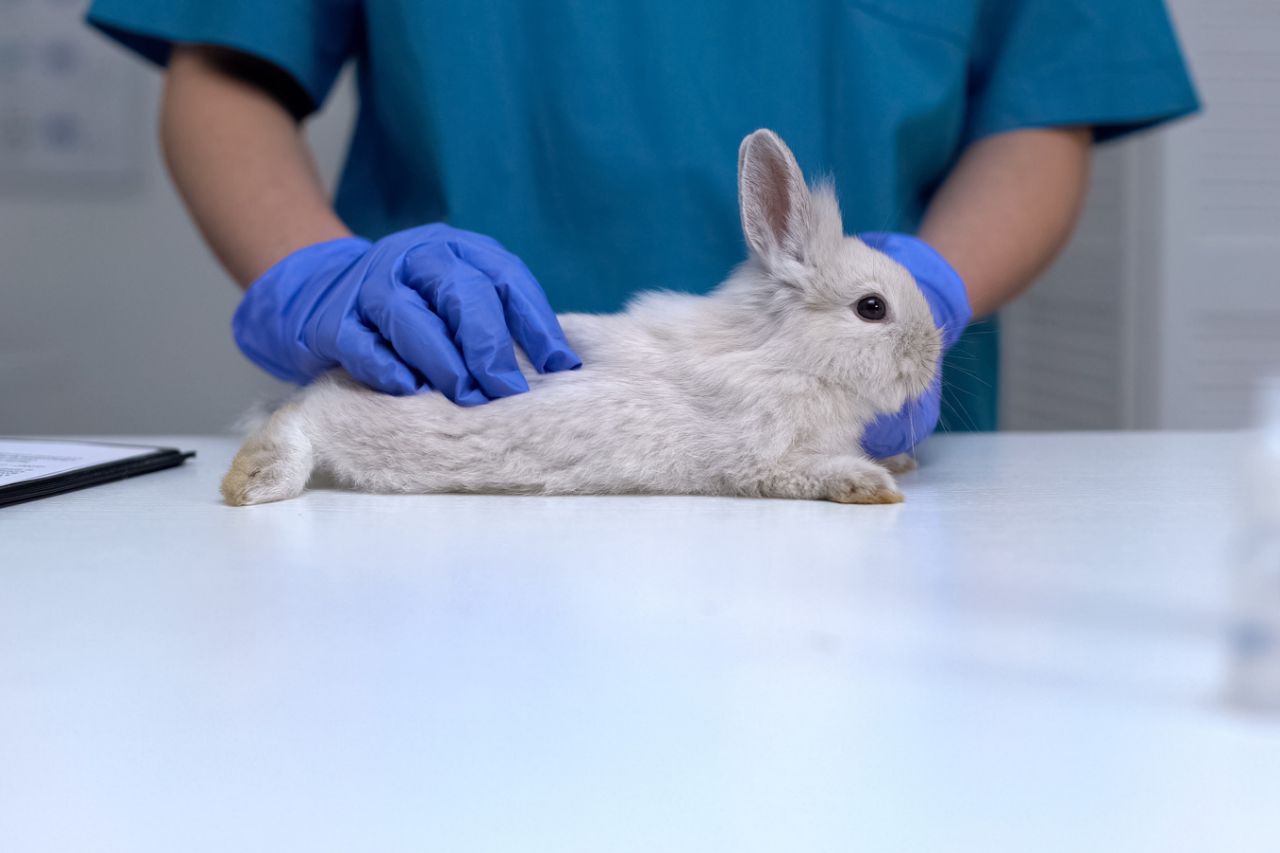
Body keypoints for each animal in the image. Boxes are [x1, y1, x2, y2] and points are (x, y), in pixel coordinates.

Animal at [221, 129, 942, 507]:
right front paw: (872, 485)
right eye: (871, 308)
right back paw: (249, 482)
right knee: (300, 422)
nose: (932, 356)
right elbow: (807, 473)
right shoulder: (759, 459)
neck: (786, 354)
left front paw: (900, 460)